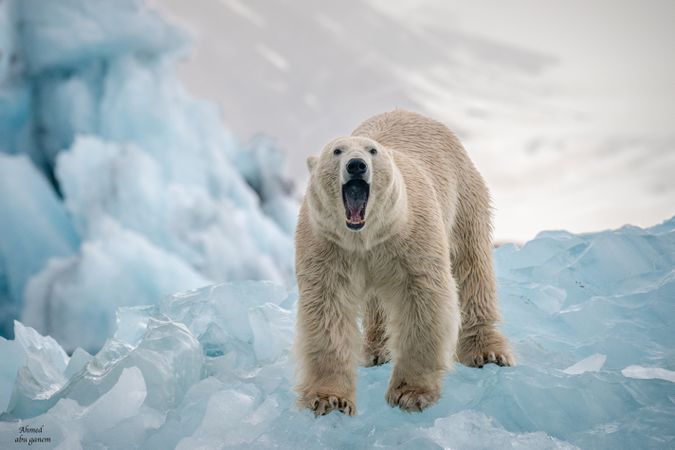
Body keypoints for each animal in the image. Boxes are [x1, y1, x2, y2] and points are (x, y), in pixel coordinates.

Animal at [294, 108, 512, 414]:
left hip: (464, 198)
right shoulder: (328, 246)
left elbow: (422, 301)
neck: (364, 236)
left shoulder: (411, 237)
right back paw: (375, 350)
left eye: (372, 151)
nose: (356, 165)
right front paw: (329, 399)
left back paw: (486, 351)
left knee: (471, 268)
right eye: (337, 151)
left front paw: (411, 394)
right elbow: (327, 310)